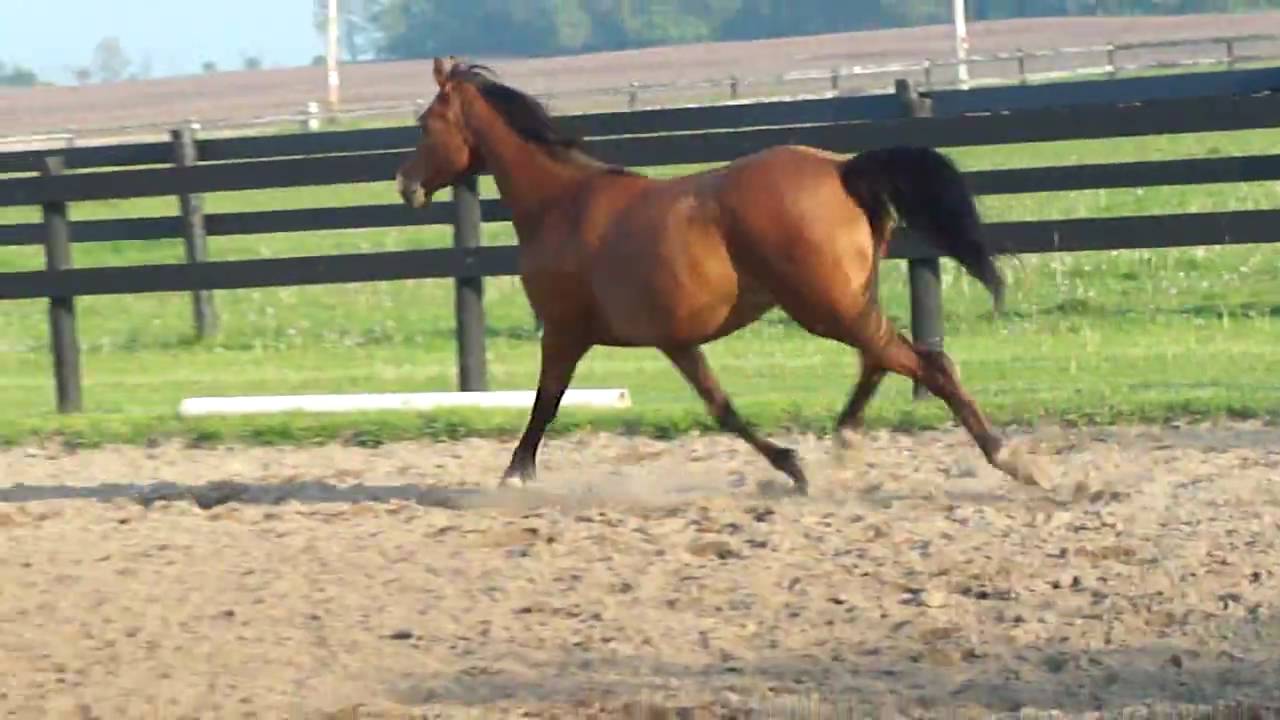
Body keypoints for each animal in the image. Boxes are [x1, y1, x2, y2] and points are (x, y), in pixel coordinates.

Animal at [395, 56, 1048, 495]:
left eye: (426, 123)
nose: (405, 186)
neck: (563, 203)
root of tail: (842, 169)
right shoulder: (675, 340)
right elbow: (722, 407)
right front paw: (793, 466)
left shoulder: (563, 332)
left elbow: (546, 403)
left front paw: (514, 476)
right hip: (846, 300)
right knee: (884, 357)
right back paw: (844, 443)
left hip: (824, 306)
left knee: (922, 361)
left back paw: (1013, 460)